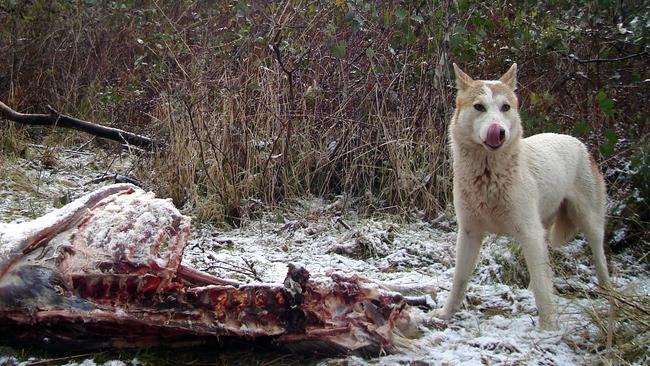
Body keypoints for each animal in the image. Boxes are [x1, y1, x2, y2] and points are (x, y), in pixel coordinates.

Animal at [432, 62, 612, 328]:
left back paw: (609, 294)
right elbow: (459, 281)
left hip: (589, 224)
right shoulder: (469, 233)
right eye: (479, 107)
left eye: (505, 107)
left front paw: (549, 329)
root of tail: (578, 142)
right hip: (544, 227)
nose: (498, 131)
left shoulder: (528, 232)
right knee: (542, 268)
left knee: (599, 259)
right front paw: (445, 314)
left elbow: (543, 290)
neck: (488, 177)